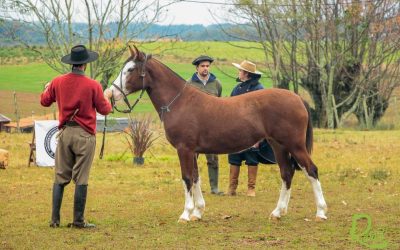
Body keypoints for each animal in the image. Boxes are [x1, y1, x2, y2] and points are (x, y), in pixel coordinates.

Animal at [107, 46, 328, 222]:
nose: (112, 93)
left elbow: (187, 178)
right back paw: (278, 212)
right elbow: (196, 178)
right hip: (278, 146)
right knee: (287, 173)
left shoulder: (184, 149)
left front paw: (185, 214)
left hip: (294, 145)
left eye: (130, 70)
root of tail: (297, 98)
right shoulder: (193, 151)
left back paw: (320, 213)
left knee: (311, 170)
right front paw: (197, 212)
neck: (180, 102)